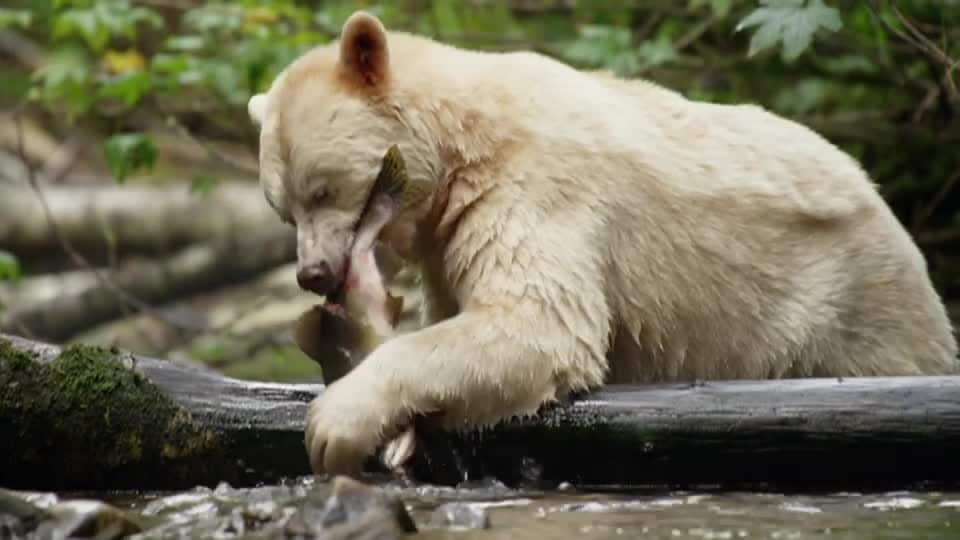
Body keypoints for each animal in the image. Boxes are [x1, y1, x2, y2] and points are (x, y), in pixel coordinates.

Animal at [249, 11, 960, 476]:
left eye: (323, 188)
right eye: (282, 208)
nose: (314, 274)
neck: (463, 141)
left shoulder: (536, 189)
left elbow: (539, 322)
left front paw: (336, 422)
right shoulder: (446, 238)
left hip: (847, 301)